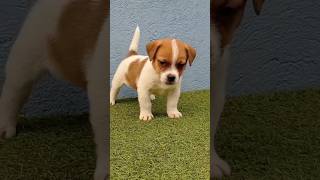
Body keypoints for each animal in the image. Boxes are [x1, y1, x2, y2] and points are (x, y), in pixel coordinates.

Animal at [0, 0, 109, 179]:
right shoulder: (102, 89)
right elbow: (105, 134)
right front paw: (105, 172)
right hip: (28, 51)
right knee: (13, 92)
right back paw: (5, 127)